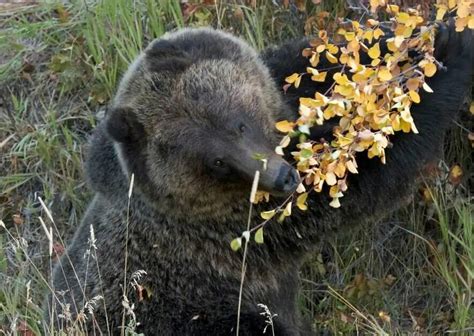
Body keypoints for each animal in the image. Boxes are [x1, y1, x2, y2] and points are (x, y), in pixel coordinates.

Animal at [48, 26, 470, 336]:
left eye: (238, 123)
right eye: (216, 161)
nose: (284, 177)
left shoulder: (279, 83)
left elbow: (317, 68)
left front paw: (429, 38)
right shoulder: (237, 230)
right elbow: (359, 183)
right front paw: (451, 62)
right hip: (185, 315)